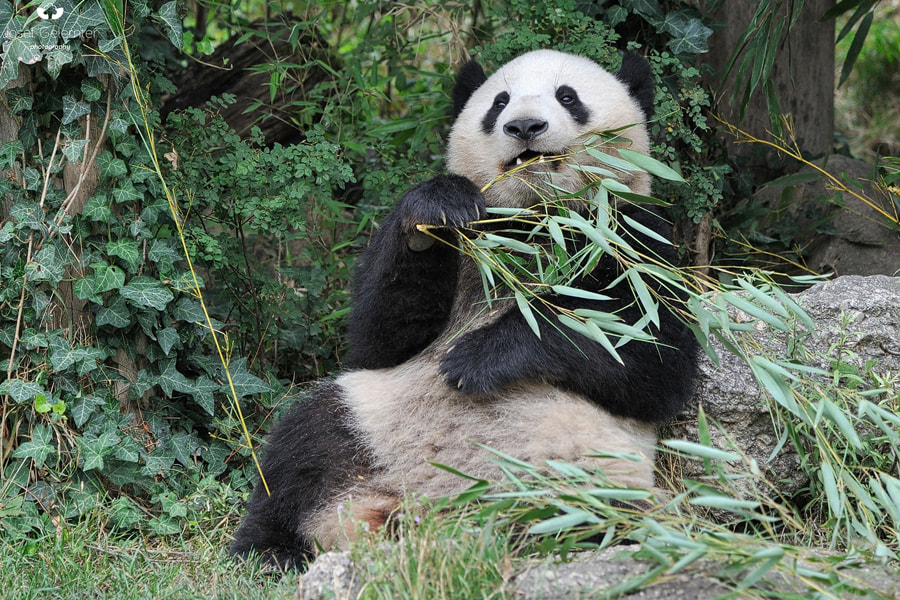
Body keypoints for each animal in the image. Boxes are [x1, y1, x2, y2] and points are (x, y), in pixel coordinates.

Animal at [230, 49, 698, 569]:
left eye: (567, 97)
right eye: (499, 102)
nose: (525, 126)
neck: (536, 221)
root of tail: (428, 515)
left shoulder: (632, 239)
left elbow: (650, 358)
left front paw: (475, 358)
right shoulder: (473, 243)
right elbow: (380, 337)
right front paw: (435, 207)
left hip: (584, 472)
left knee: (586, 519)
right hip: (370, 420)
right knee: (303, 444)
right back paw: (269, 550)